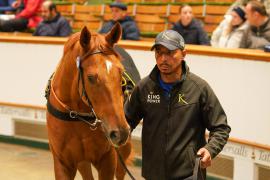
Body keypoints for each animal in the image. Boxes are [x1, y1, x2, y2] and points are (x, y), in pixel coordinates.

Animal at [46, 23, 133, 179]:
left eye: (121, 72)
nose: (120, 132)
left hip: (124, 149)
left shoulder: (108, 159)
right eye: (91, 77)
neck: (76, 116)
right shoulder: (63, 163)